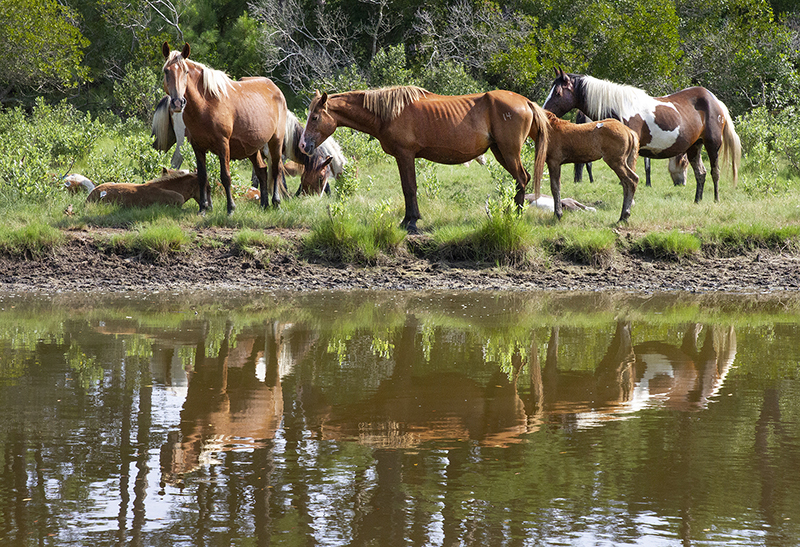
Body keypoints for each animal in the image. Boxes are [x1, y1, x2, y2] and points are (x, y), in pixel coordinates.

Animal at [161, 41, 290, 214]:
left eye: (186, 72)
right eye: (166, 71)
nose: (177, 103)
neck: (206, 105)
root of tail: (276, 89)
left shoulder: (223, 145)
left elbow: (225, 176)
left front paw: (230, 208)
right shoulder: (197, 146)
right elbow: (202, 176)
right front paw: (203, 208)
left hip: (276, 140)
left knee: (276, 170)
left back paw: (276, 202)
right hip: (252, 148)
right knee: (262, 171)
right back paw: (264, 204)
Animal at [300, 85, 552, 233]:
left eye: (315, 117)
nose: (303, 145)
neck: (389, 113)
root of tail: (526, 102)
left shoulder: (405, 155)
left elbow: (409, 188)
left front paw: (410, 222)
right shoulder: (403, 157)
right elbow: (407, 188)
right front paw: (409, 220)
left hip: (508, 151)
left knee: (522, 179)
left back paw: (515, 215)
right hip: (500, 151)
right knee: (521, 179)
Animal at [544, 70, 744, 203]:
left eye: (558, 92)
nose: (545, 111)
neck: (619, 107)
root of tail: (715, 101)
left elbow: (631, 177)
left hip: (712, 145)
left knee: (715, 172)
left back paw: (716, 200)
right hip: (694, 147)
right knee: (700, 173)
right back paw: (697, 201)